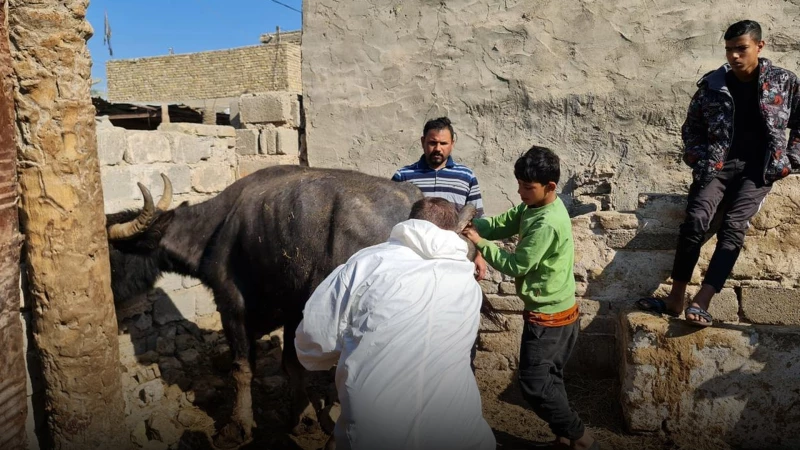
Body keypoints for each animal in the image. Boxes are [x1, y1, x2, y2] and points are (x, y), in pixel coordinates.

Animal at [104, 165, 456, 446]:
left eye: (111, 252)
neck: (216, 230)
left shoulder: (232, 306)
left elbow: (242, 368)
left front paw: (237, 427)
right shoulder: (294, 311)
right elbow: (292, 365)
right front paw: (303, 420)